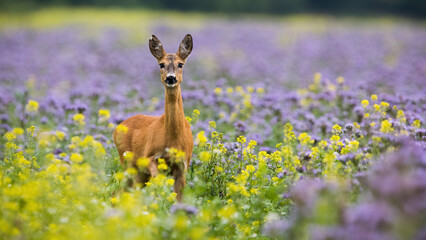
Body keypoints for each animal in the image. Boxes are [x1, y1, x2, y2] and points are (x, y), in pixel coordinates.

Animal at [112, 33, 194, 199]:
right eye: (161, 64)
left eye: (180, 64)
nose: (170, 78)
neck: (173, 140)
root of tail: (117, 128)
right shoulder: (150, 157)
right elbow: (158, 187)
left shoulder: (183, 165)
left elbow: (180, 199)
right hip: (127, 162)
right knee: (118, 192)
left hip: (139, 174)